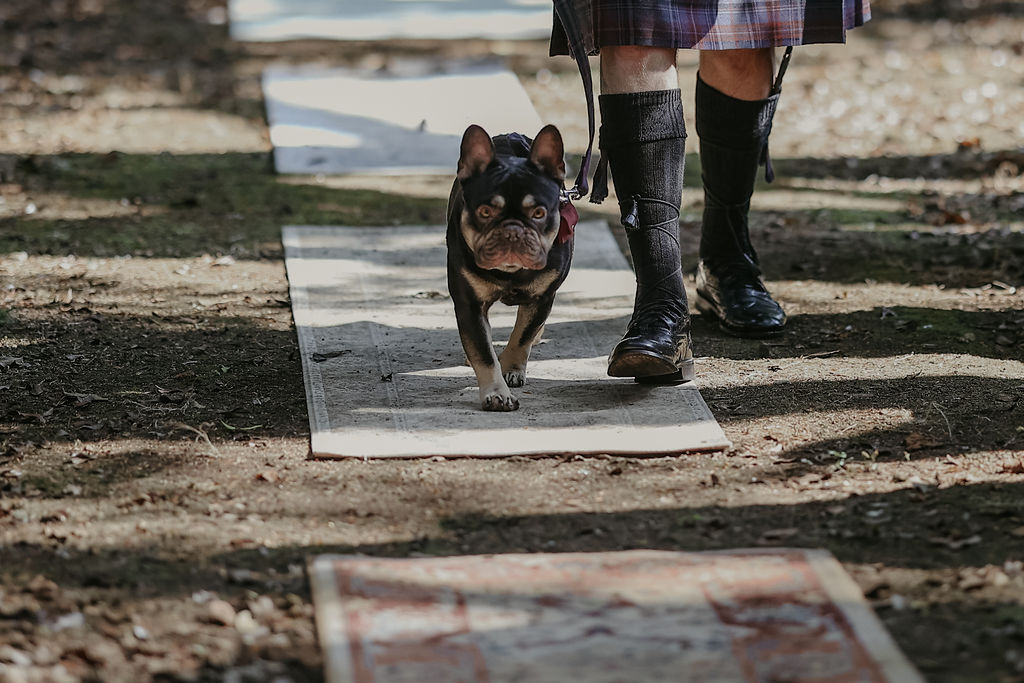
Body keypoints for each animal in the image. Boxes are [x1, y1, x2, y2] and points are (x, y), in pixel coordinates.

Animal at [448, 124, 577, 411]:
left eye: (539, 213)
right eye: (485, 212)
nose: (512, 230)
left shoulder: (542, 298)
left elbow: (522, 336)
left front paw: (511, 368)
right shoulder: (469, 304)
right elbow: (483, 351)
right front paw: (496, 393)